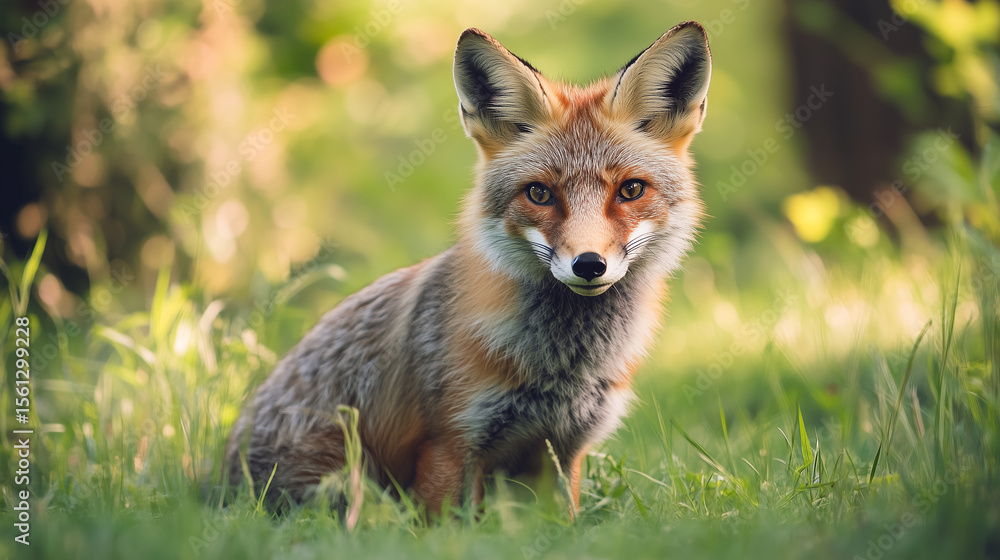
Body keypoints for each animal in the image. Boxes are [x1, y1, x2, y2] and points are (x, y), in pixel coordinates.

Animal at [225, 21, 712, 516]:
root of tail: (215, 481)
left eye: (631, 190)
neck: (560, 370)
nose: (589, 265)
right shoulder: (451, 442)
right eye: (539, 194)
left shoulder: (564, 450)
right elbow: (449, 524)